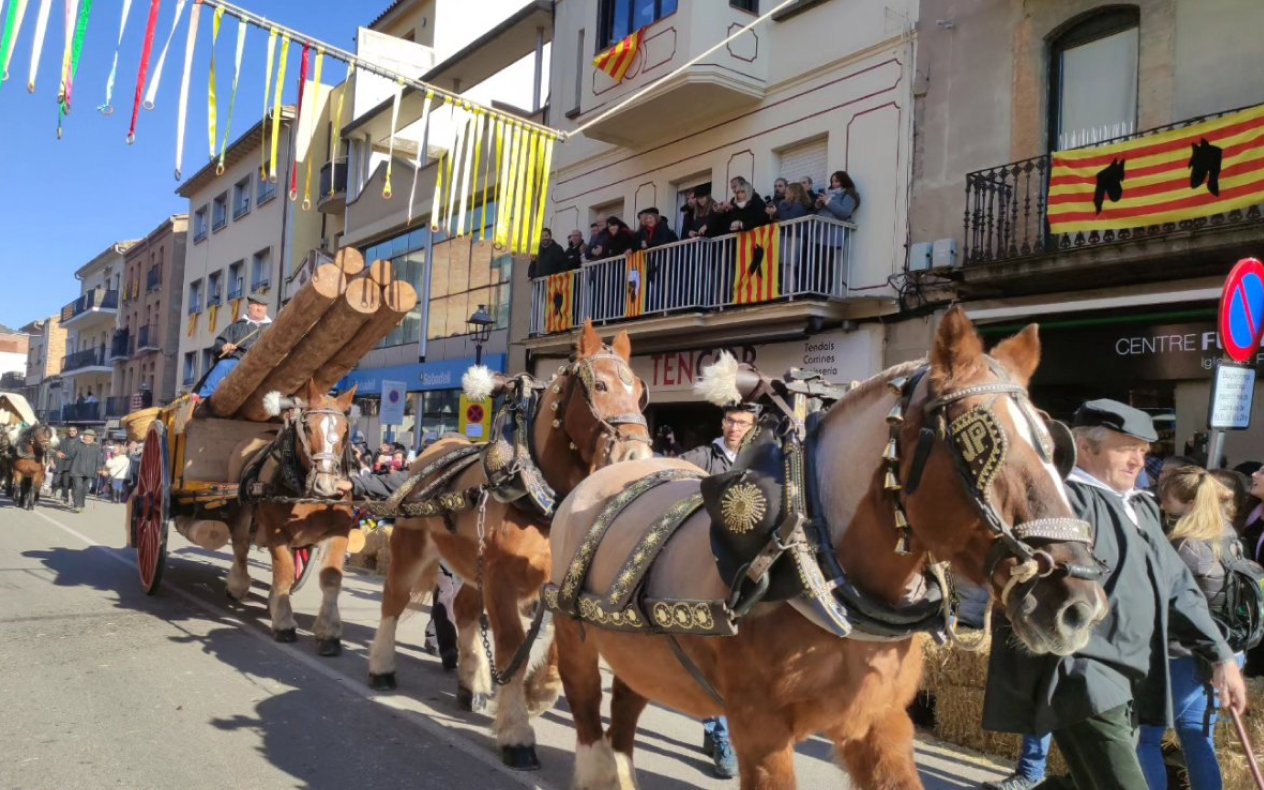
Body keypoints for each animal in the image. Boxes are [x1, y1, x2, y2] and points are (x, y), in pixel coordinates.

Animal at [222, 381, 358, 652]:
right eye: (307, 427)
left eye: (345, 430)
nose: (326, 486)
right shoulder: (277, 533)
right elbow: (284, 573)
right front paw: (283, 623)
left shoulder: (338, 533)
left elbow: (330, 579)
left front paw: (328, 632)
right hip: (241, 515)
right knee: (241, 549)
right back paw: (238, 585)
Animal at [366, 318, 657, 763]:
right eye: (600, 386)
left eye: (640, 391)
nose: (636, 460)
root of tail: (432, 451)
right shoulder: (501, 582)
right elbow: (510, 647)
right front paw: (516, 730)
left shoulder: (562, 586)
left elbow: (556, 650)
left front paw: (537, 693)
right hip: (412, 548)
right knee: (394, 600)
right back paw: (382, 668)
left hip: (471, 565)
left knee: (465, 611)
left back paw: (473, 683)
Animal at [548, 309, 1112, 788]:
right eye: (978, 443)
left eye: (1055, 447)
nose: (1079, 606)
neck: (814, 565)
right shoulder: (761, 733)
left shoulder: (881, 723)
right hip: (574, 638)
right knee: (589, 718)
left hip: (637, 650)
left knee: (624, 710)